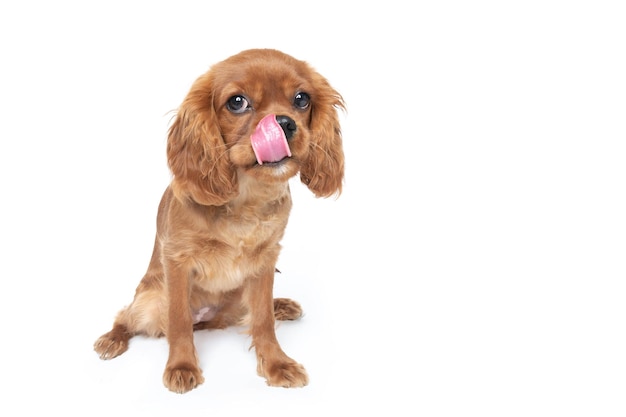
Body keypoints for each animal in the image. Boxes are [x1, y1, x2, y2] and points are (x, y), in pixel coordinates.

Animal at [95, 49, 344, 394]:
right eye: (237, 102)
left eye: (301, 99)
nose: (283, 123)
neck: (247, 198)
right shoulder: (177, 261)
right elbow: (179, 321)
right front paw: (182, 366)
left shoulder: (266, 260)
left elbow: (263, 320)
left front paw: (277, 363)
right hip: (150, 301)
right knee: (127, 316)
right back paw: (111, 339)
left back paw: (281, 305)